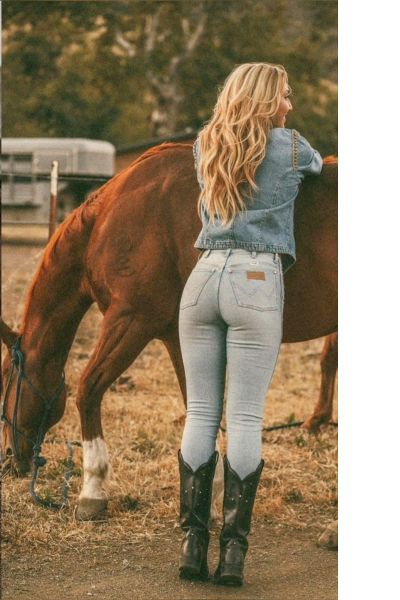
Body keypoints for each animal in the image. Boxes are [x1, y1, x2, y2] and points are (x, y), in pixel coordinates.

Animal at [0, 143, 338, 516]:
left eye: (4, 379)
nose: (7, 459)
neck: (112, 217)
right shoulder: (179, 337)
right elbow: (197, 406)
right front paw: (210, 489)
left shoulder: (130, 320)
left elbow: (87, 389)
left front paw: (93, 489)